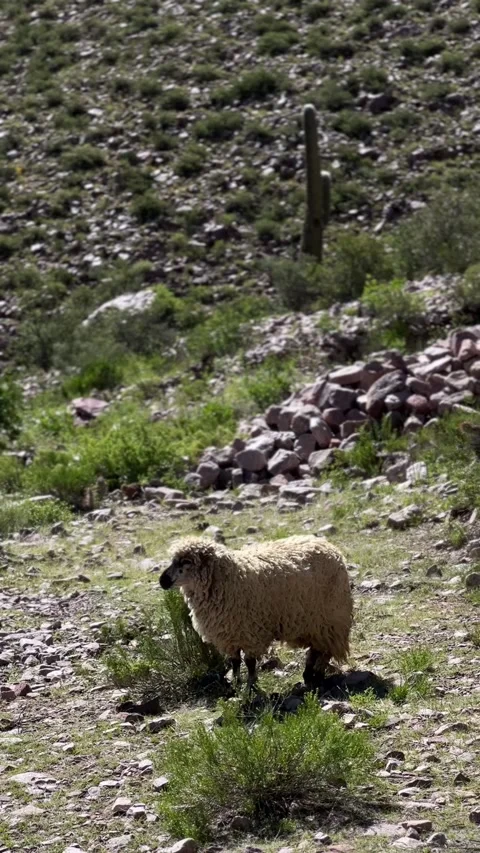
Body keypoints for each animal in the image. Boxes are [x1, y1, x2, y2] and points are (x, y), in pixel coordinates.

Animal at [159, 534, 353, 690]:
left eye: (186, 562)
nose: (162, 581)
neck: (229, 579)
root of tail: (327, 546)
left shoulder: (249, 633)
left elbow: (250, 663)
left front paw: (250, 686)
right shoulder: (229, 635)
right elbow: (235, 662)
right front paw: (236, 684)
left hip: (330, 618)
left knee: (324, 650)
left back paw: (316, 675)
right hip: (315, 623)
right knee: (316, 649)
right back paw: (308, 675)